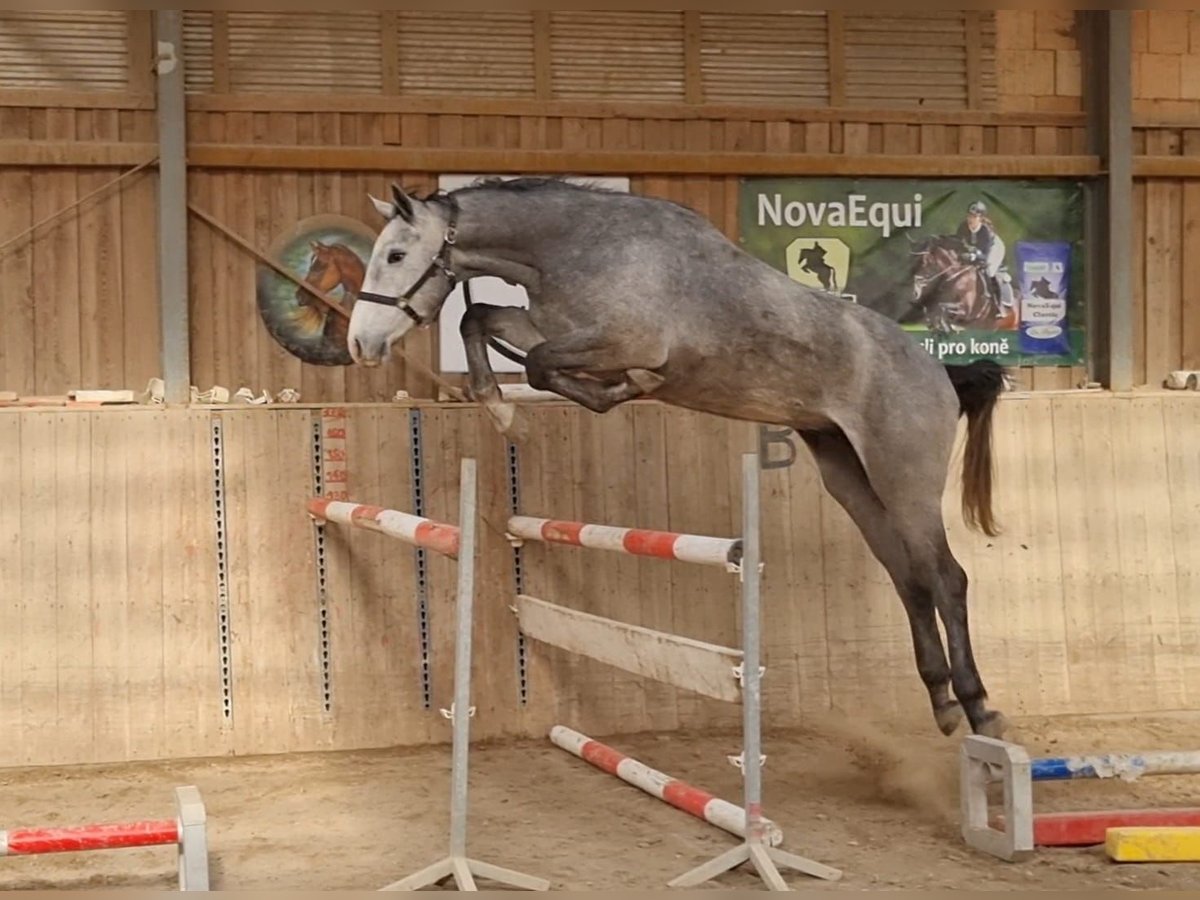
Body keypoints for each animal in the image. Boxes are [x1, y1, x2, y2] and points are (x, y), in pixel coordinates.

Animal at [348, 177, 1012, 739]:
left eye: (396, 256)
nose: (360, 344)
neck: (578, 248)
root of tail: (939, 371)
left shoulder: (619, 341)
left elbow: (539, 364)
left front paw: (615, 391)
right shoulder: (549, 326)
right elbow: (481, 320)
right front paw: (501, 410)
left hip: (904, 479)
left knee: (946, 578)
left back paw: (979, 706)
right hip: (850, 477)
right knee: (909, 578)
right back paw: (942, 703)